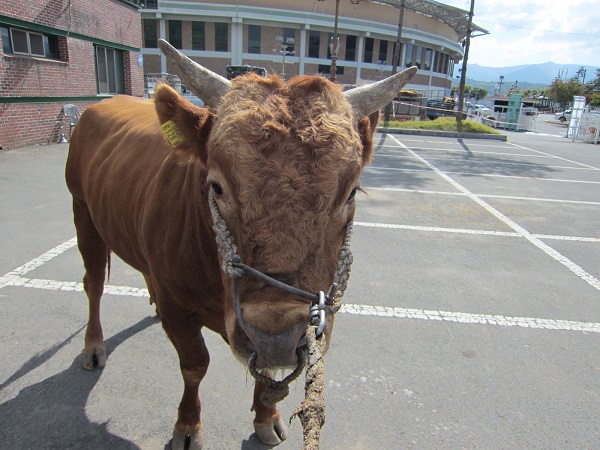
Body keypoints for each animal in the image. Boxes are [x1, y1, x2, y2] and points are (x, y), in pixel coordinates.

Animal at [63, 39, 414, 450]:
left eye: (351, 193)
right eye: (216, 186)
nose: (276, 336)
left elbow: (267, 375)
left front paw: (267, 417)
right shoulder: (179, 313)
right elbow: (194, 365)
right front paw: (187, 426)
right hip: (83, 212)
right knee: (93, 284)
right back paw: (93, 346)